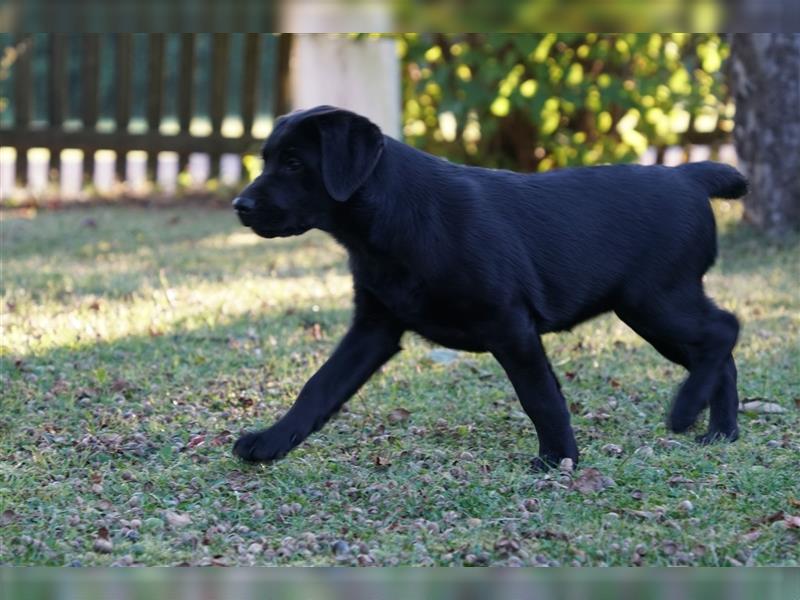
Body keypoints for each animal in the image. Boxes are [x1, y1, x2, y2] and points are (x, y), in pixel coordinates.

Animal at [231, 105, 752, 472]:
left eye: (294, 163)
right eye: (268, 160)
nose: (240, 205)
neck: (391, 220)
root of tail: (686, 175)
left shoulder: (510, 325)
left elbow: (539, 397)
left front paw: (558, 459)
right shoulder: (374, 327)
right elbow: (319, 386)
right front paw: (270, 441)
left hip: (654, 301)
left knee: (724, 330)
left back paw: (686, 411)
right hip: (654, 310)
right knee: (718, 353)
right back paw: (721, 431)